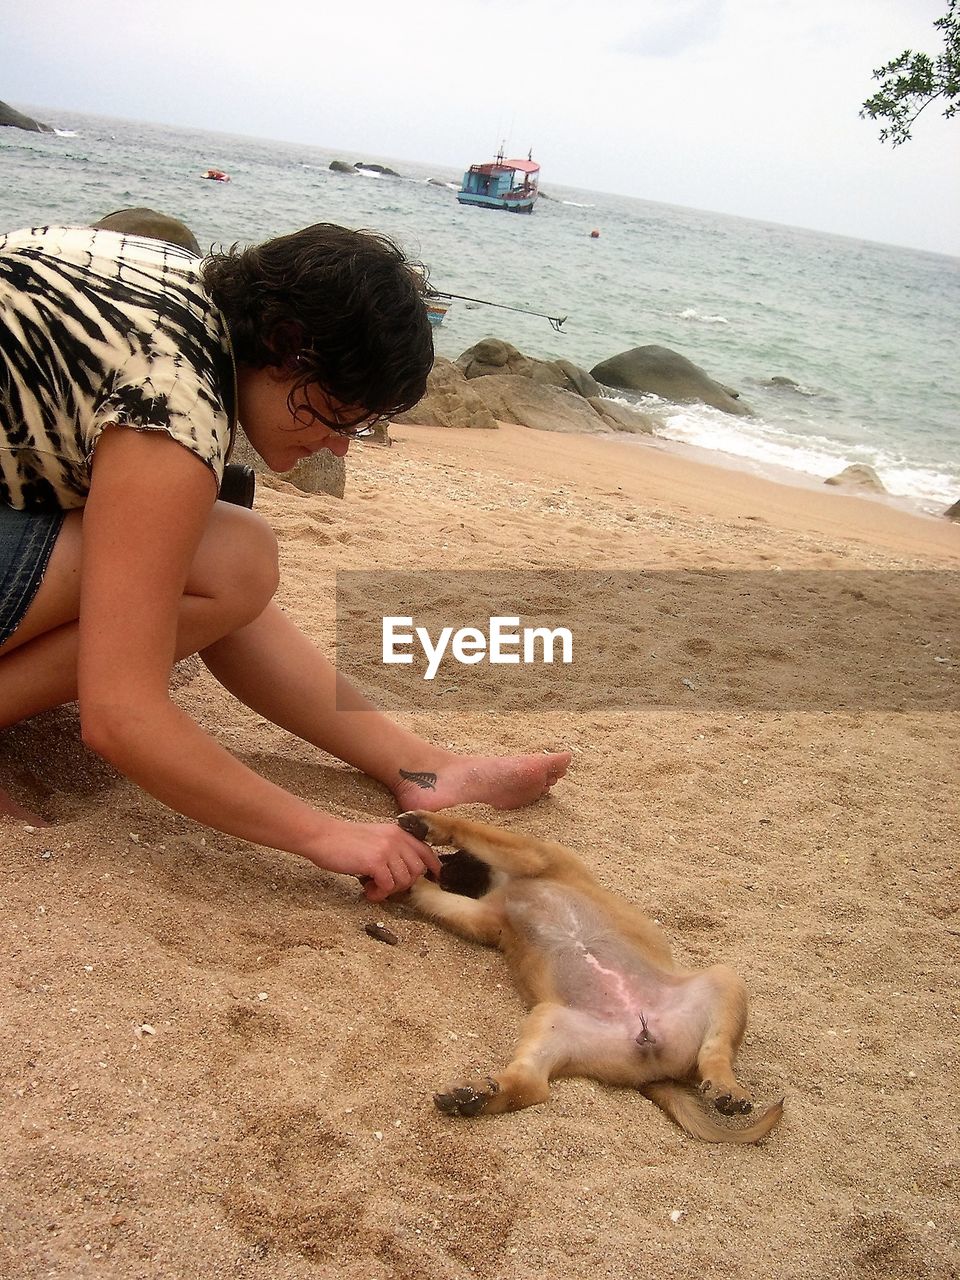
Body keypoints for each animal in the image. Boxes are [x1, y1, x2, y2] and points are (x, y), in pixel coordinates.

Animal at [396, 808, 783, 1141]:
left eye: (453, 859)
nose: (433, 867)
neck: (505, 883)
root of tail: (657, 1070)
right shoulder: (484, 915)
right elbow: (438, 899)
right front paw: (411, 879)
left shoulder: (535, 855)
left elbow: (474, 829)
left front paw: (427, 824)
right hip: (552, 1022)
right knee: (532, 1085)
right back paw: (474, 1096)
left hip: (725, 980)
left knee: (716, 1052)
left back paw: (725, 1088)